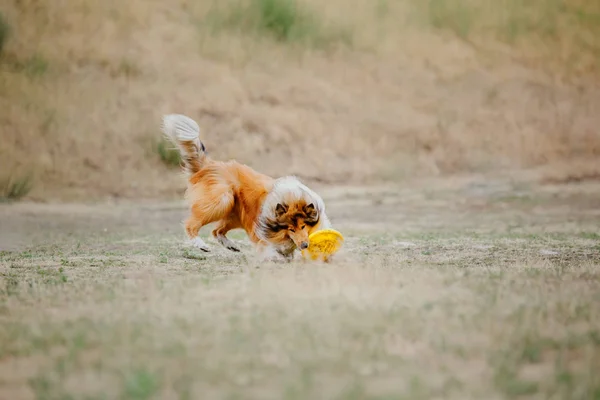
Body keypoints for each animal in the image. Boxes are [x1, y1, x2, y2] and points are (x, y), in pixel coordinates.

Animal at [162, 112, 332, 262]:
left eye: (303, 226)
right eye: (291, 229)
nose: (304, 245)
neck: (291, 198)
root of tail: (211, 165)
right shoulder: (263, 233)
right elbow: (272, 248)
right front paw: (276, 257)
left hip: (235, 212)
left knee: (216, 230)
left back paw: (230, 245)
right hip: (222, 200)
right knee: (192, 225)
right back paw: (200, 244)